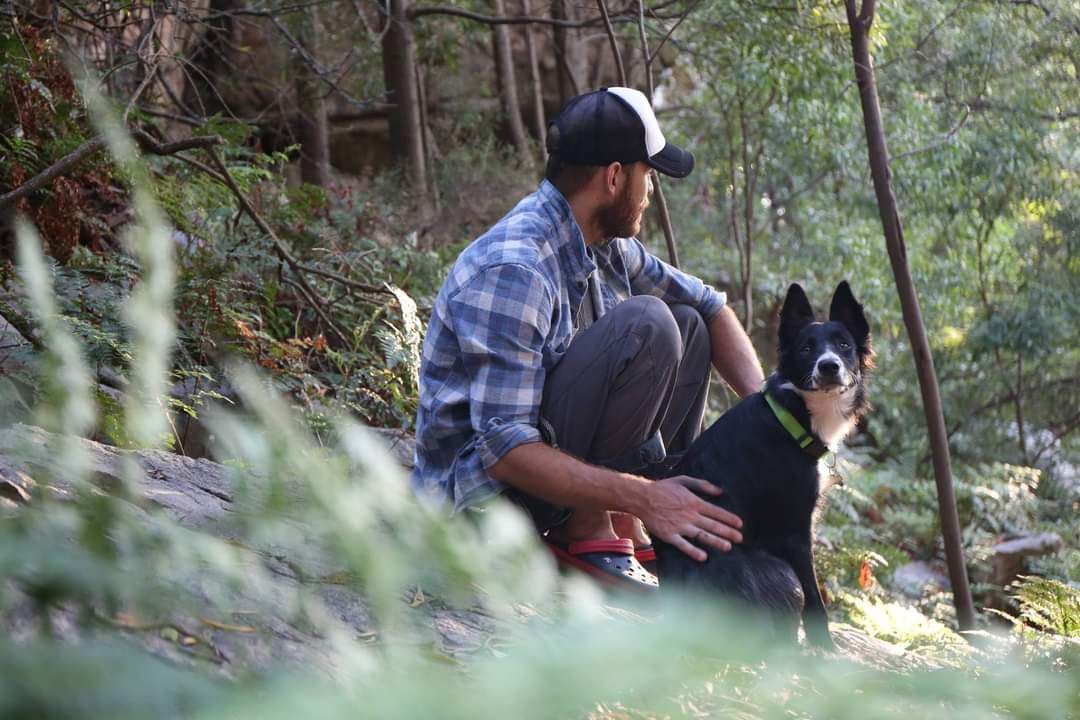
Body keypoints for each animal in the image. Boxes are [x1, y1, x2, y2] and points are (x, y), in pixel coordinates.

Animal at [652, 280, 872, 647]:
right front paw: (825, 649)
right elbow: (816, 603)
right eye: (806, 348)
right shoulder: (795, 532)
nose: (829, 366)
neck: (794, 412)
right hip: (781, 574)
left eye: (844, 345)